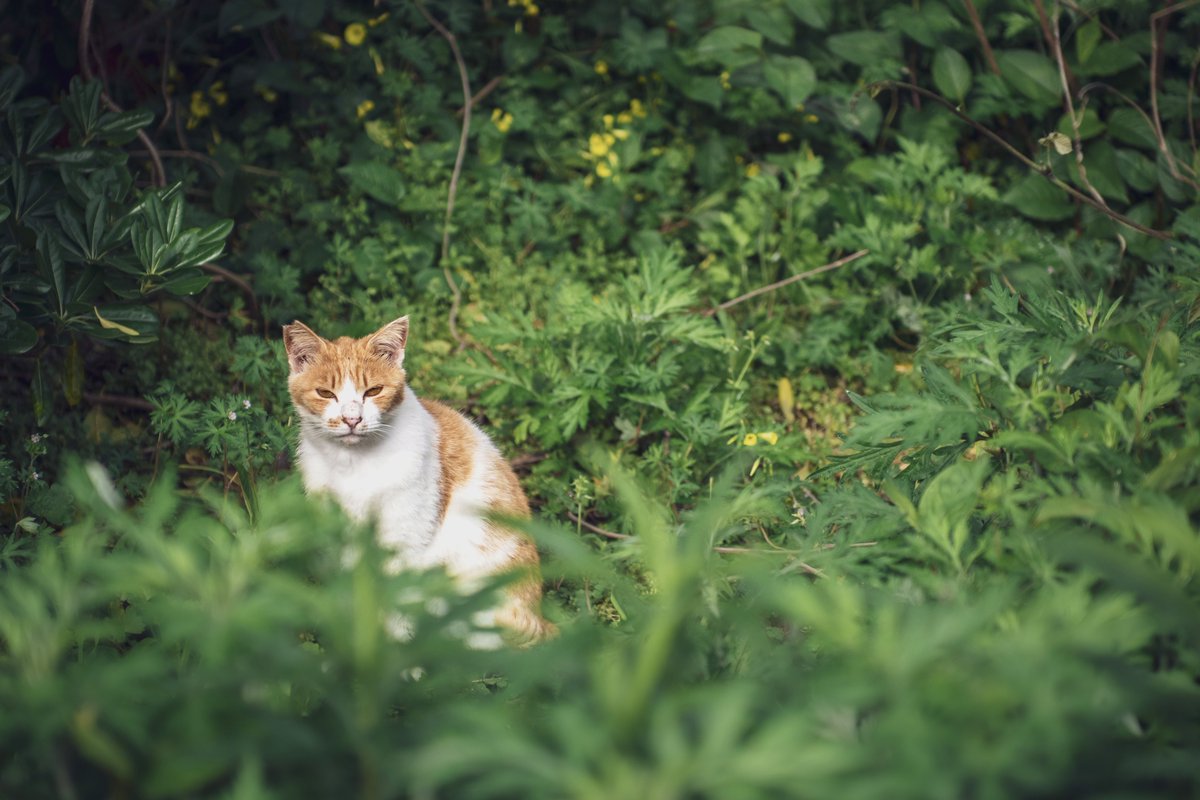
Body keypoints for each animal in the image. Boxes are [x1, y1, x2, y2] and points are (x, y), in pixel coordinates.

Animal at [283, 316, 554, 647]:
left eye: (373, 391)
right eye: (325, 393)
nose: (352, 419)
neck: (353, 463)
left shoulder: (405, 539)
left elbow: (397, 601)